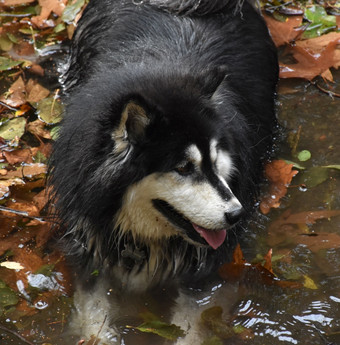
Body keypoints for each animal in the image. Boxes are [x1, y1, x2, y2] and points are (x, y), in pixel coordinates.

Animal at [49, 0, 278, 342]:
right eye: (183, 167)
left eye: (215, 159)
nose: (237, 214)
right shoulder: (89, 245)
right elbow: (94, 315)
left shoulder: (207, 274)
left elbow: (193, 324)